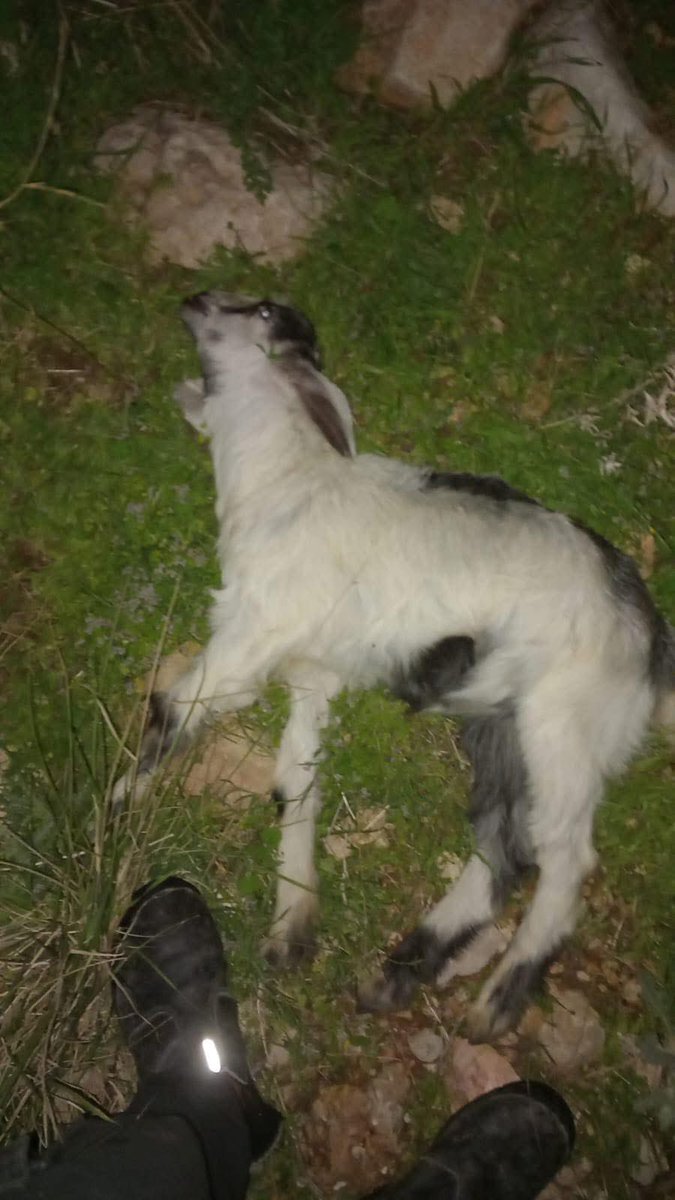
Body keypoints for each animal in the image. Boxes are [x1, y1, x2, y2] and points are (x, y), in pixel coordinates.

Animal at [114, 292, 674, 1041]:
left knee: (563, 861)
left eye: (258, 311)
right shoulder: (314, 673)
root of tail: (649, 635)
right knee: (503, 850)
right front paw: (291, 929)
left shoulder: (250, 633)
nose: (195, 299)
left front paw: (116, 807)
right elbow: (296, 781)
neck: (287, 477)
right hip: (499, 726)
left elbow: (174, 710)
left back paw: (497, 999)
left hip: (562, 727)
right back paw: (401, 971)